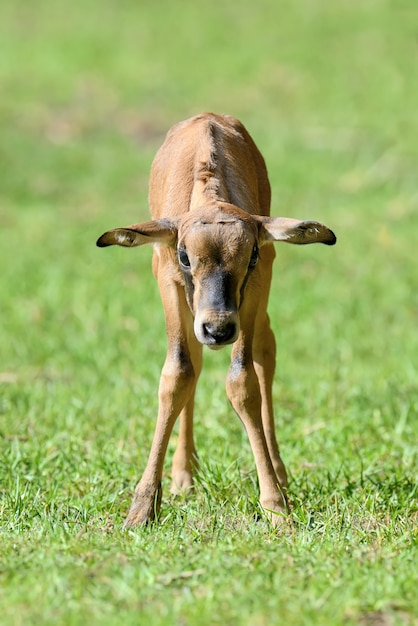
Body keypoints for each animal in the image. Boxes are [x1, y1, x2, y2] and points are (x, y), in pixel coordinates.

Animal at [96, 113, 334, 528]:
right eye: (184, 255)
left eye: (251, 254)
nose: (219, 329)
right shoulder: (170, 283)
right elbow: (177, 375)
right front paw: (142, 508)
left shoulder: (255, 288)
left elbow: (243, 382)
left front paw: (275, 504)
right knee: (194, 361)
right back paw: (183, 477)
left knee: (264, 351)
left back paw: (278, 472)